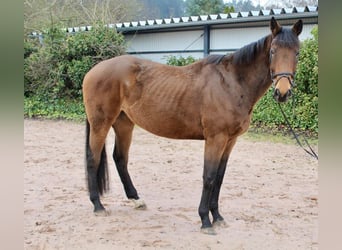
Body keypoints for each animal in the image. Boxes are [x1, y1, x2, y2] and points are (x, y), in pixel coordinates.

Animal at [82, 17, 302, 234]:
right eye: (273, 51)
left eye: (297, 53)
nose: (282, 92)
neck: (231, 83)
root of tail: (93, 71)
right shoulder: (216, 139)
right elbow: (209, 177)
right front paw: (205, 220)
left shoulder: (230, 141)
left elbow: (219, 178)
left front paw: (218, 217)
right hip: (101, 124)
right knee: (93, 158)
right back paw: (98, 205)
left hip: (124, 124)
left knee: (120, 158)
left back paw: (136, 200)